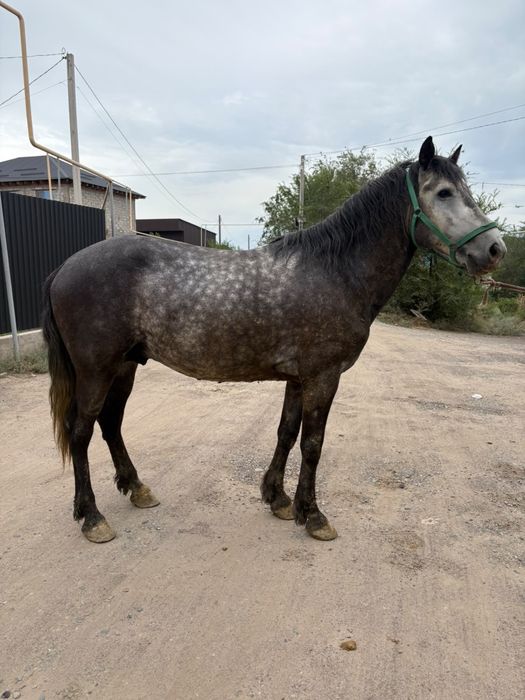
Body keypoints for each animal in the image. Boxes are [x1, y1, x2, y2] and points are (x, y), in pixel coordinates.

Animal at [42, 136, 506, 543]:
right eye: (444, 192)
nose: (495, 249)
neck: (335, 272)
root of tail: (64, 267)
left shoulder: (299, 378)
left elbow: (286, 433)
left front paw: (279, 499)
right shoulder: (323, 376)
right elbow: (313, 444)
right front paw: (314, 516)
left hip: (124, 366)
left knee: (110, 424)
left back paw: (137, 489)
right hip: (96, 370)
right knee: (81, 432)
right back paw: (92, 517)